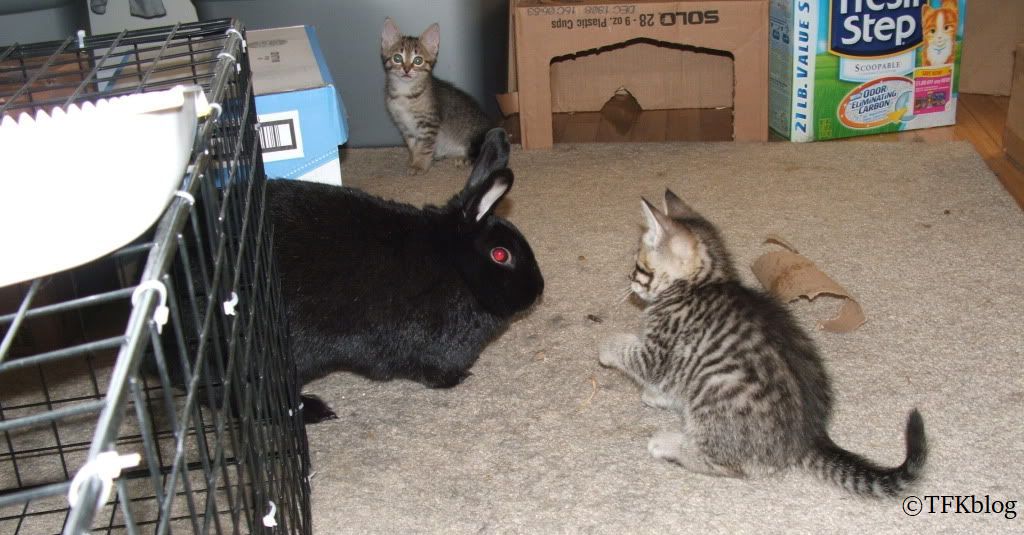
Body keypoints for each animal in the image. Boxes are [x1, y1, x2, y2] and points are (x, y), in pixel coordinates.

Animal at [381, 18, 493, 174]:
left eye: (418, 60)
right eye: (397, 58)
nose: (406, 69)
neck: (405, 94)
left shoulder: (429, 123)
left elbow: (424, 147)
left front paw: (420, 165)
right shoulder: (405, 127)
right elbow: (413, 146)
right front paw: (413, 160)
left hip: (477, 136)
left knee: (483, 151)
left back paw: (465, 159)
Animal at [598, 190, 928, 498]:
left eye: (640, 266)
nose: (629, 279)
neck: (700, 284)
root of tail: (808, 437)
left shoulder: (659, 352)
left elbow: (627, 349)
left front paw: (606, 349)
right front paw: (659, 395)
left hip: (717, 392)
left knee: (725, 463)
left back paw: (668, 444)